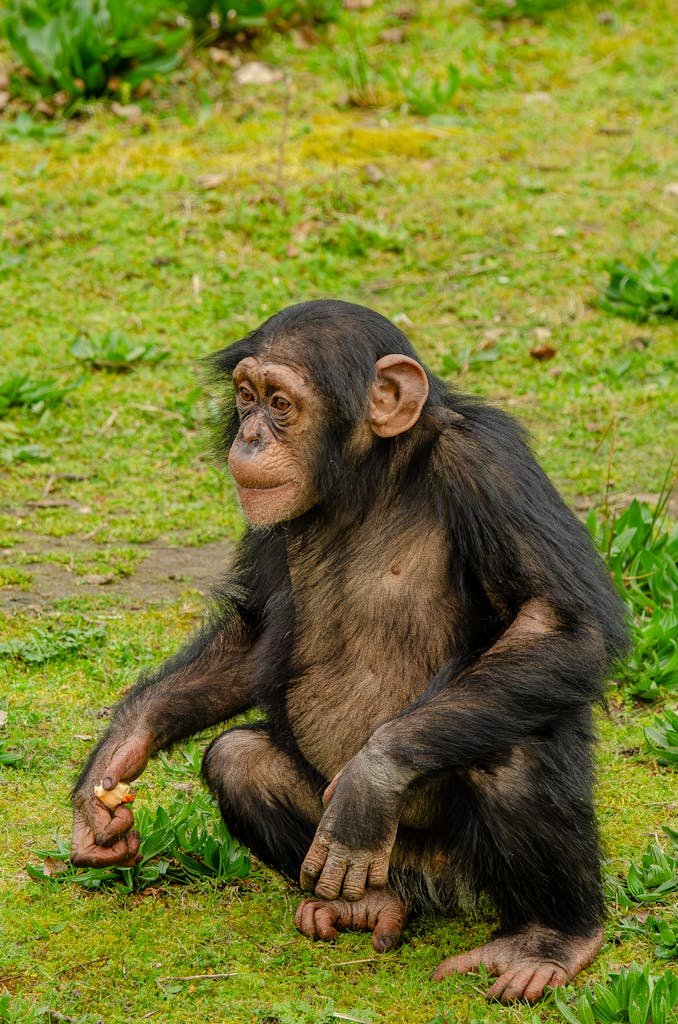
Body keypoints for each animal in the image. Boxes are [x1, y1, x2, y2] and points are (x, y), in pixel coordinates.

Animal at [71, 299, 629, 1003]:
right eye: (246, 396)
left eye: (281, 403)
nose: (250, 436)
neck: (368, 480)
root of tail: (431, 878)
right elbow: (254, 636)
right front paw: (113, 764)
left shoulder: (491, 466)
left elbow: (559, 623)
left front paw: (370, 779)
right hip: (380, 867)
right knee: (237, 760)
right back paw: (367, 907)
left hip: (458, 861)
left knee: (513, 750)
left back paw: (547, 940)